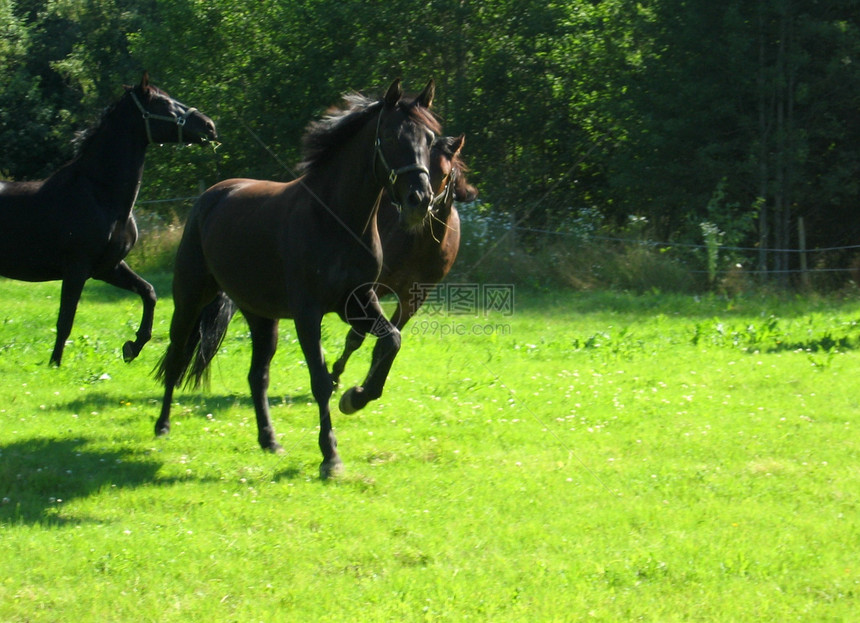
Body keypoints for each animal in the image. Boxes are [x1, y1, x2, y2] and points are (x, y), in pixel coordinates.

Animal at [0, 73, 218, 366]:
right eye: (162, 102)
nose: (209, 125)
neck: (100, 195)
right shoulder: (77, 269)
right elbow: (65, 320)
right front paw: (55, 364)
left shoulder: (107, 267)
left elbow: (149, 292)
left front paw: (132, 347)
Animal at [151, 79, 440, 478]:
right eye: (392, 137)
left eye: (430, 139)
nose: (420, 200)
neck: (336, 220)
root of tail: (212, 195)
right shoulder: (308, 313)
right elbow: (320, 381)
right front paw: (330, 456)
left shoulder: (358, 301)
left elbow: (391, 341)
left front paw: (356, 397)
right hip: (190, 298)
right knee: (177, 355)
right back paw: (162, 425)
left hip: (261, 317)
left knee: (257, 376)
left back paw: (269, 440)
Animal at [330, 134, 478, 386]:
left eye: (445, 174)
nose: (420, 205)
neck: (421, 246)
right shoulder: (373, 288)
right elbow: (356, 337)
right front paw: (336, 374)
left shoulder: (412, 300)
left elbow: (385, 342)